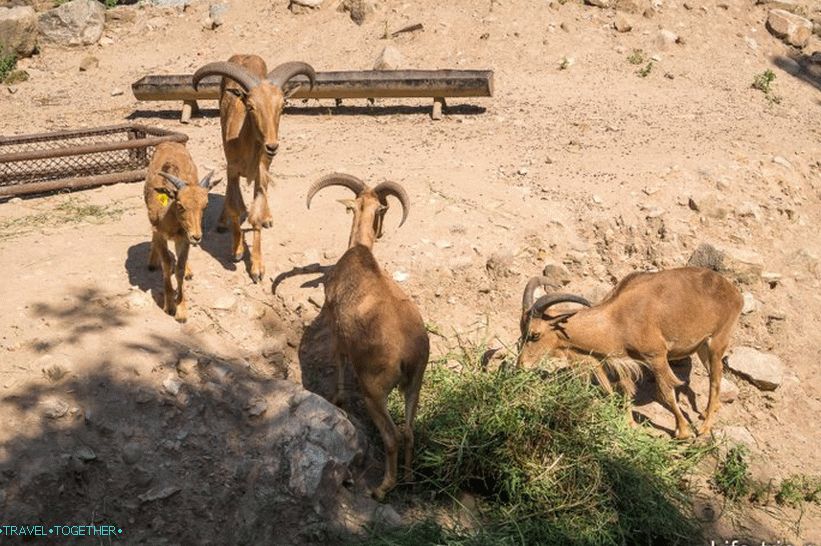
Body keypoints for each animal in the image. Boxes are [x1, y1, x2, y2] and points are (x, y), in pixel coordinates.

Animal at [144, 140, 221, 320]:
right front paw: (169, 306)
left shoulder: (183, 238)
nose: (197, 237)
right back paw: (152, 261)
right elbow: (166, 264)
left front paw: (181, 309)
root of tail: (170, 141)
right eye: (180, 204)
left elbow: (179, 268)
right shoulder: (159, 233)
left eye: (205, 205)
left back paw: (188, 270)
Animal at [193, 54, 318, 282]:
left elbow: (255, 215)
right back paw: (222, 222)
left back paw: (268, 218)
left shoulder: (261, 172)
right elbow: (236, 207)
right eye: (250, 106)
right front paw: (237, 250)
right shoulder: (232, 170)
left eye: (282, 105)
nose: (272, 146)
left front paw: (257, 268)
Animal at [306, 172, 430, 500]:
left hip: (375, 392)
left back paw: (382, 488)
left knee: (392, 436)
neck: (360, 253)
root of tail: (408, 354)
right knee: (409, 431)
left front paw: (336, 399)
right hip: (415, 385)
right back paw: (409, 480)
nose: (382, 232)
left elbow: (338, 360)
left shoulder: (336, 327)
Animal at [520, 266, 744, 438]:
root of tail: (734, 292)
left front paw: (682, 432)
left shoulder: (656, 357)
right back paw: (708, 412)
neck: (616, 320)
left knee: (715, 380)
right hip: (701, 348)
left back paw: (705, 428)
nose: (521, 365)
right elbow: (624, 389)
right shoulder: (623, 360)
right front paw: (629, 424)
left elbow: (666, 393)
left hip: (717, 342)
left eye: (535, 334)